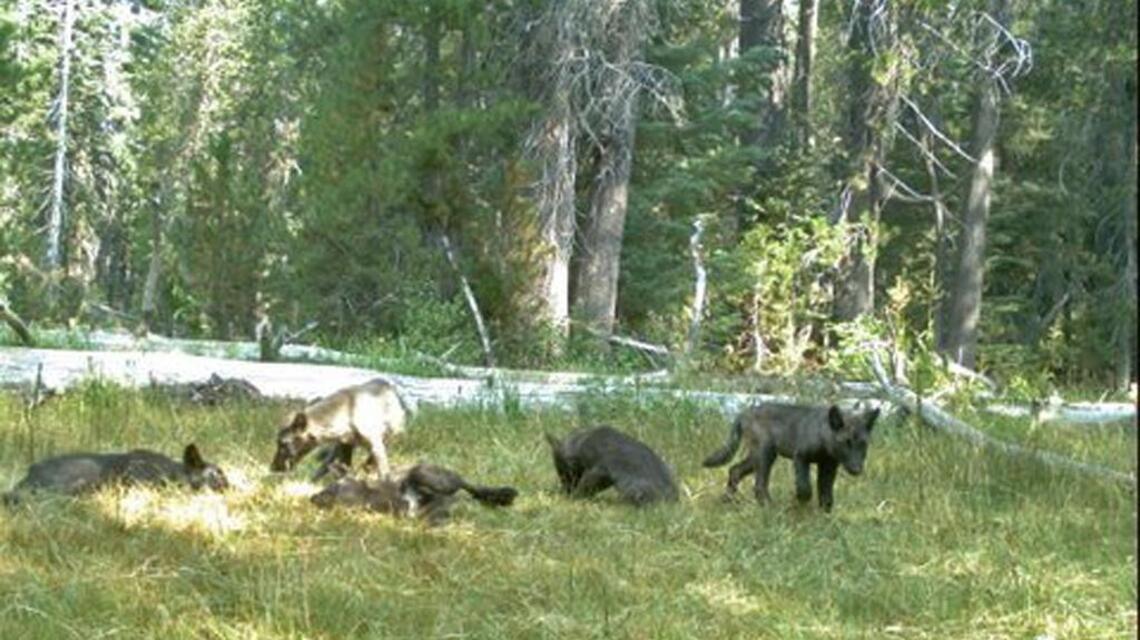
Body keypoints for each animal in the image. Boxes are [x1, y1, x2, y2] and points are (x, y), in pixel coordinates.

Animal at [270, 378, 407, 479]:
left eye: (283, 443)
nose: (273, 468)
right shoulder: (345, 445)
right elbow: (342, 470)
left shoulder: (375, 444)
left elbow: (383, 472)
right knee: (326, 465)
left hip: (390, 435)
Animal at [702, 402, 880, 511]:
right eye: (845, 443)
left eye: (863, 444)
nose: (856, 470)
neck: (823, 438)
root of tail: (744, 413)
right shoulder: (800, 457)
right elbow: (805, 487)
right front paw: (799, 505)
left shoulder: (828, 467)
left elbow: (826, 494)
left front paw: (825, 516)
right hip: (765, 455)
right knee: (759, 485)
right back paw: (770, 508)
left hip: (757, 457)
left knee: (735, 470)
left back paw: (727, 500)